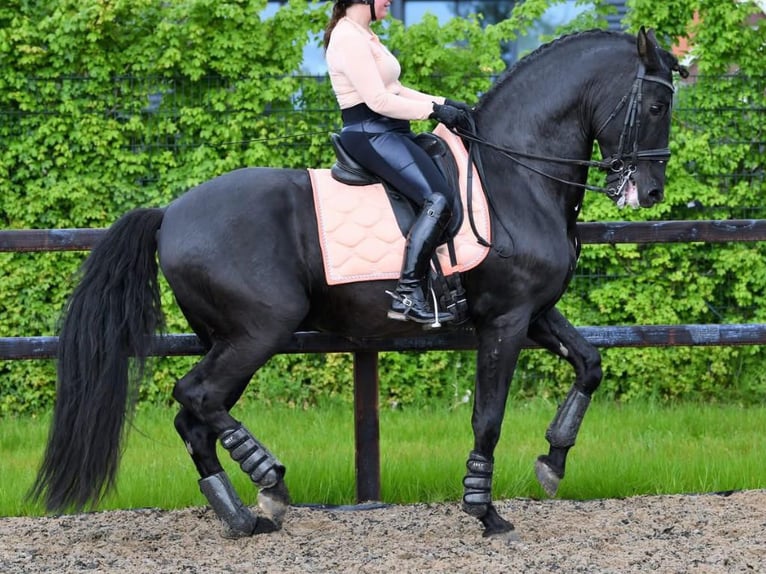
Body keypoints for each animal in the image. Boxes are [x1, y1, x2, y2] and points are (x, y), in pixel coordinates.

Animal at [30, 28, 685, 540]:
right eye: (657, 107)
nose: (650, 192)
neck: (513, 174)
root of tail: (170, 213)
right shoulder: (505, 320)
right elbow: (488, 416)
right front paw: (485, 512)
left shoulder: (535, 311)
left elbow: (590, 363)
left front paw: (554, 459)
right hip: (258, 332)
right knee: (196, 397)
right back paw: (270, 484)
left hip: (229, 339)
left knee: (195, 415)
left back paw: (242, 516)